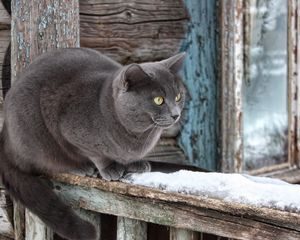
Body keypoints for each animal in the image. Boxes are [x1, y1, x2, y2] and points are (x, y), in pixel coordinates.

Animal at [0, 47, 186, 240]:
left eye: (178, 97)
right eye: (159, 100)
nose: (176, 114)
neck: (137, 136)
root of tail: (5, 136)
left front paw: (136, 164)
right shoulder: (71, 133)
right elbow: (97, 154)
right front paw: (110, 168)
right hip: (38, 138)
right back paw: (81, 167)